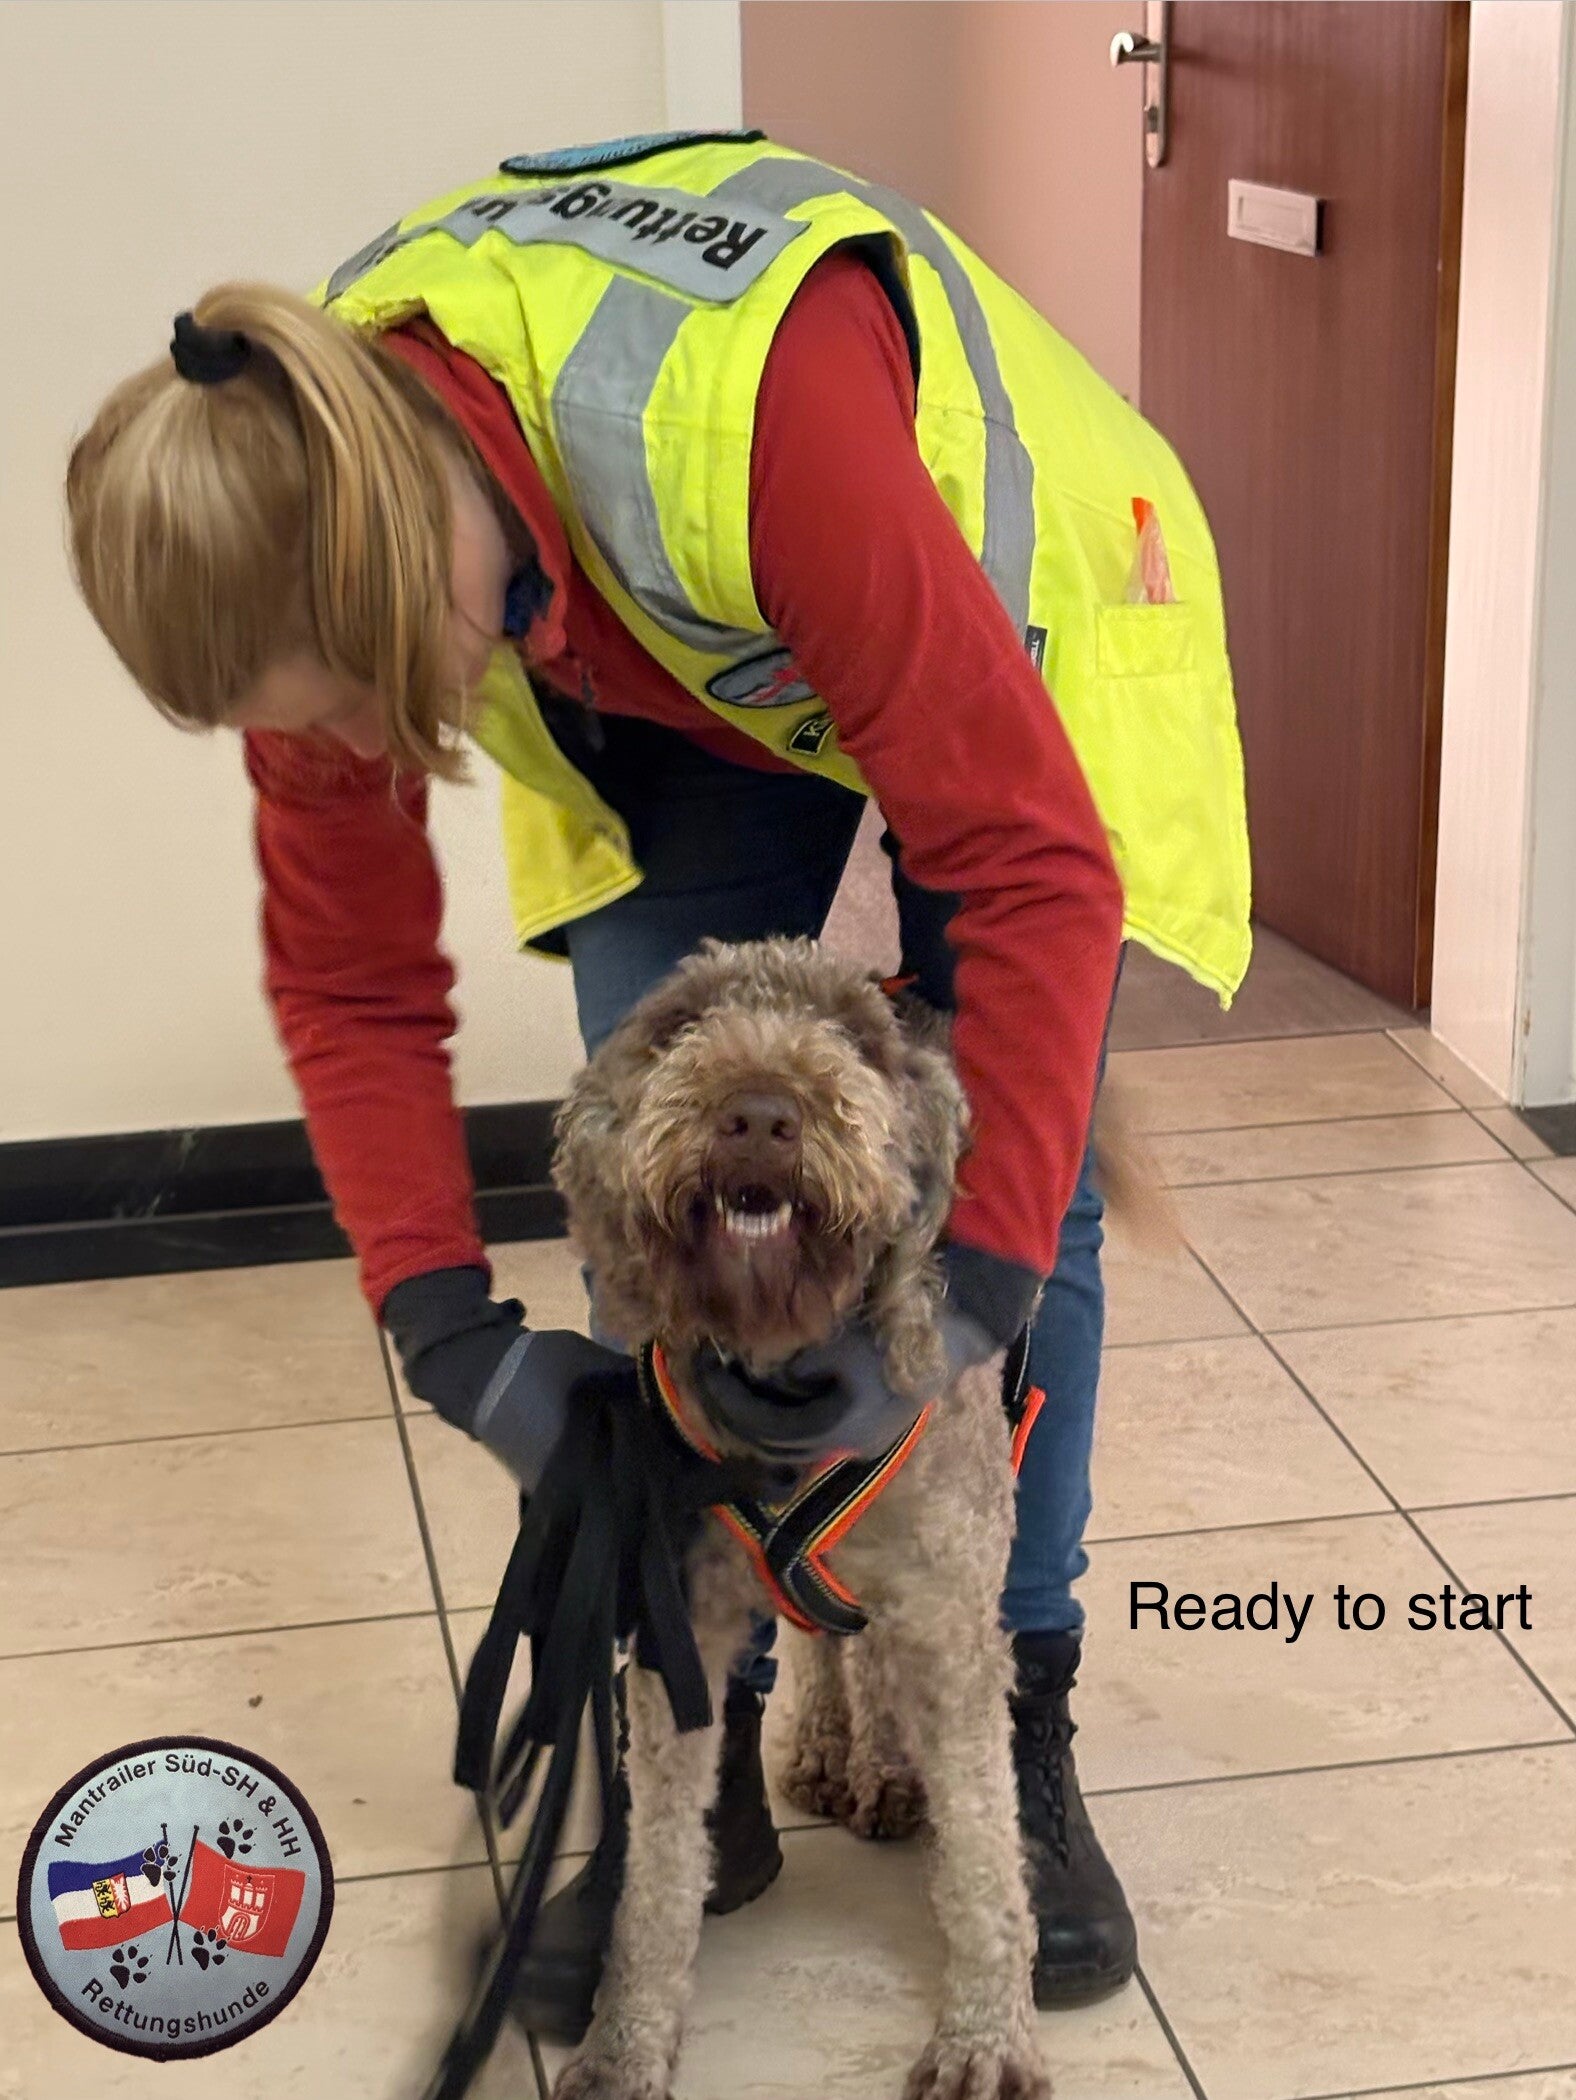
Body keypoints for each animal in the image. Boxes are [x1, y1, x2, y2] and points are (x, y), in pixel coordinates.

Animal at [549, 936, 1055, 2100]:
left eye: (856, 1045)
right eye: (680, 1023)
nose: (759, 1113)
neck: (789, 1384)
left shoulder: (950, 1611)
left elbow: (983, 1846)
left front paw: (984, 2036)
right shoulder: (677, 1624)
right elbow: (656, 1876)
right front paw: (624, 2041)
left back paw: (889, 1767)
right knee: (831, 1641)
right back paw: (838, 1748)